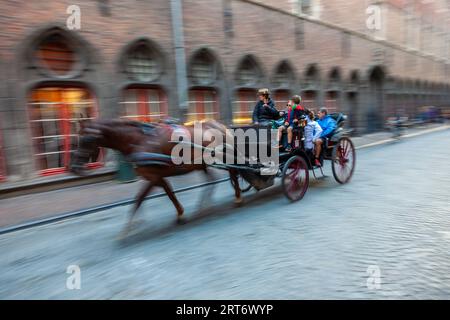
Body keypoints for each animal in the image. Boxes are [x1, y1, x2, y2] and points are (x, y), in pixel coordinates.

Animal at [71, 119, 244, 234]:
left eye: (87, 139)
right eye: (77, 137)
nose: (75, 168)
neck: (139, 140)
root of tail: (219, 125)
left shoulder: (153, 177)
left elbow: (140, 198)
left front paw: (127, 228)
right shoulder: (155, 177)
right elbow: (167, 194)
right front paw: (180, 213)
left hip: (224, 157)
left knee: (233, 173)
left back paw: (237, 197)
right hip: (201, 163)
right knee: (213, 180)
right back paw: (204, 206)